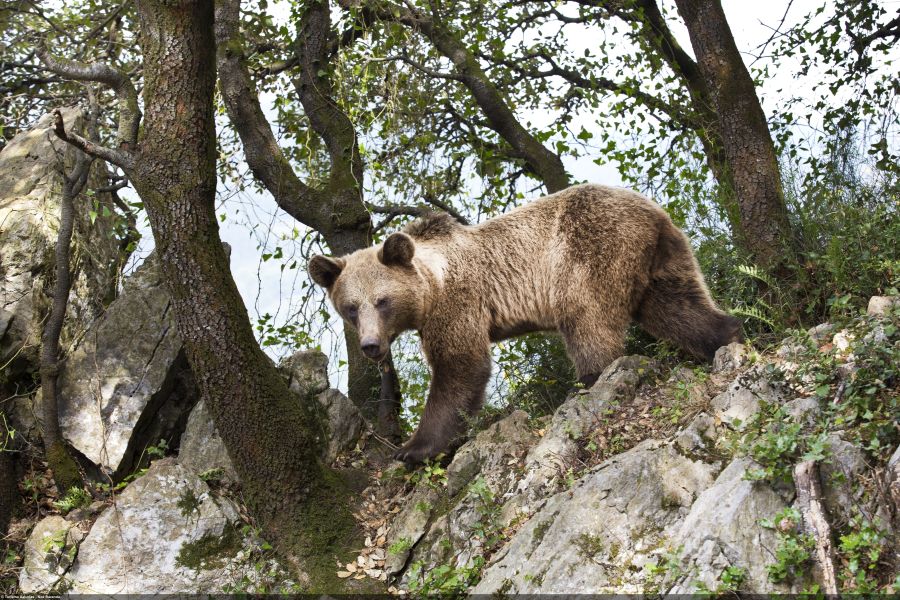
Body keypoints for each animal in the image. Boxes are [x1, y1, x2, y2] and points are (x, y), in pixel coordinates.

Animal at [309, 183, 742, 464]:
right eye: (350, 307)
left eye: (382, 301)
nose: (370, 346)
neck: (432, 283)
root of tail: (652, 211)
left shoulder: (458, 303)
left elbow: (460, 367)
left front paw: (413, 448)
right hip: (662, 260)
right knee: (678, 306)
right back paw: (727, 336)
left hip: (590, 250)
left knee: (587, 319)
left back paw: (591, 381)